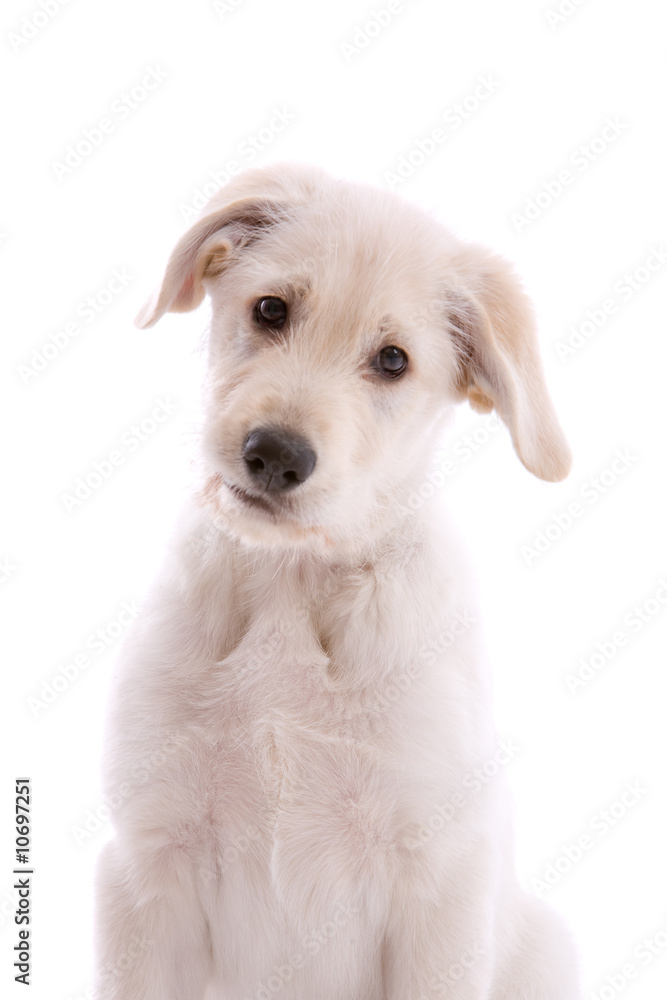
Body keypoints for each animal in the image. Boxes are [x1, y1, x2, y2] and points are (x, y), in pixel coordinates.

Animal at [94, 166, 584, 1000]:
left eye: (391, 361)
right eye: (270, 309)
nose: (275, 456)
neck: (289, 590)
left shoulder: (438, 885)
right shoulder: (146, 864)